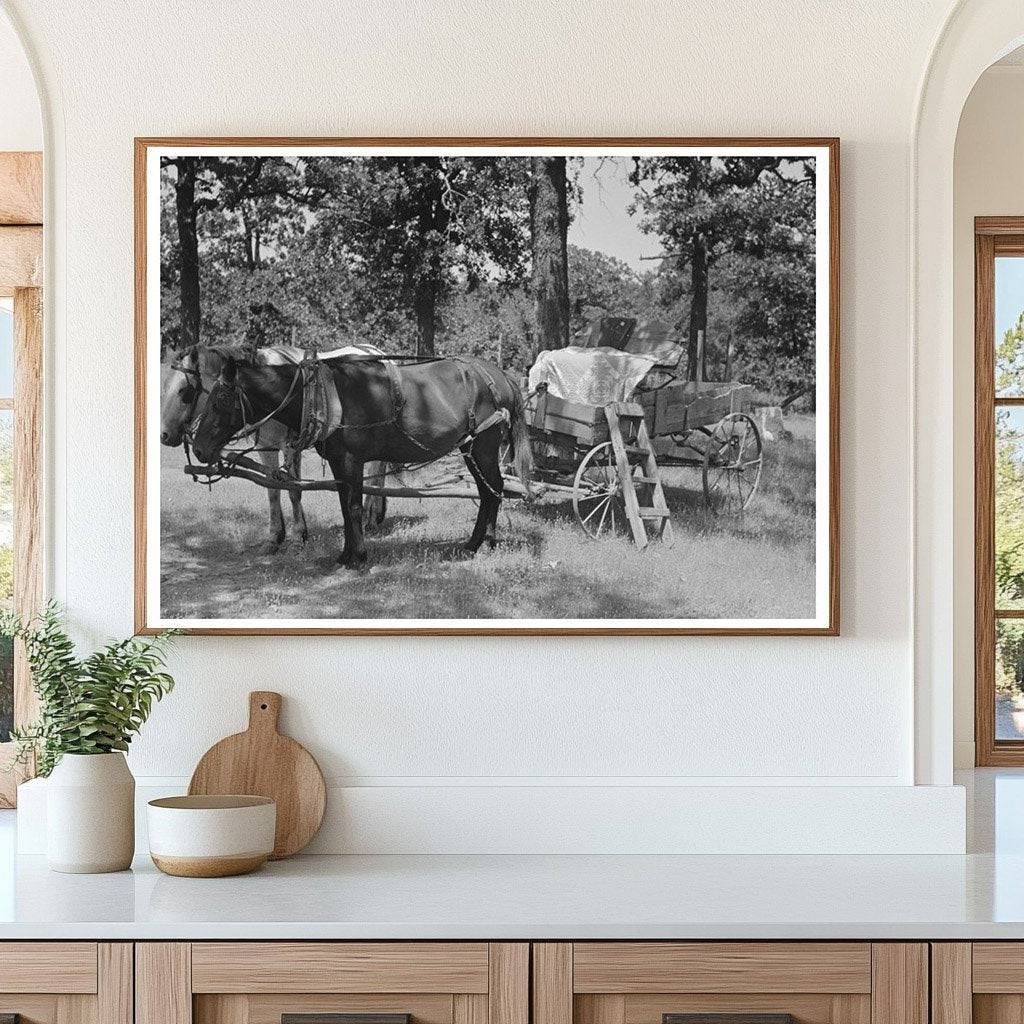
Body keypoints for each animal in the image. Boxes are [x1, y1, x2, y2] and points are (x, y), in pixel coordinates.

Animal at [190, 346, 536, 569]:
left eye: (221, 400)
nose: (199, 447)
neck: (322, 395)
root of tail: (500, 375)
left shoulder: (351, 460)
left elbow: (354, 507)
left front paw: (358, 557)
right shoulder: (340, 463)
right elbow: (346, 508)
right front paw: (347, 555)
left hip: (484, 446)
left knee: (493, 490)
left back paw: (481, 544)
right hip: (471, 447)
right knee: (488, 491)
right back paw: (477, 543)